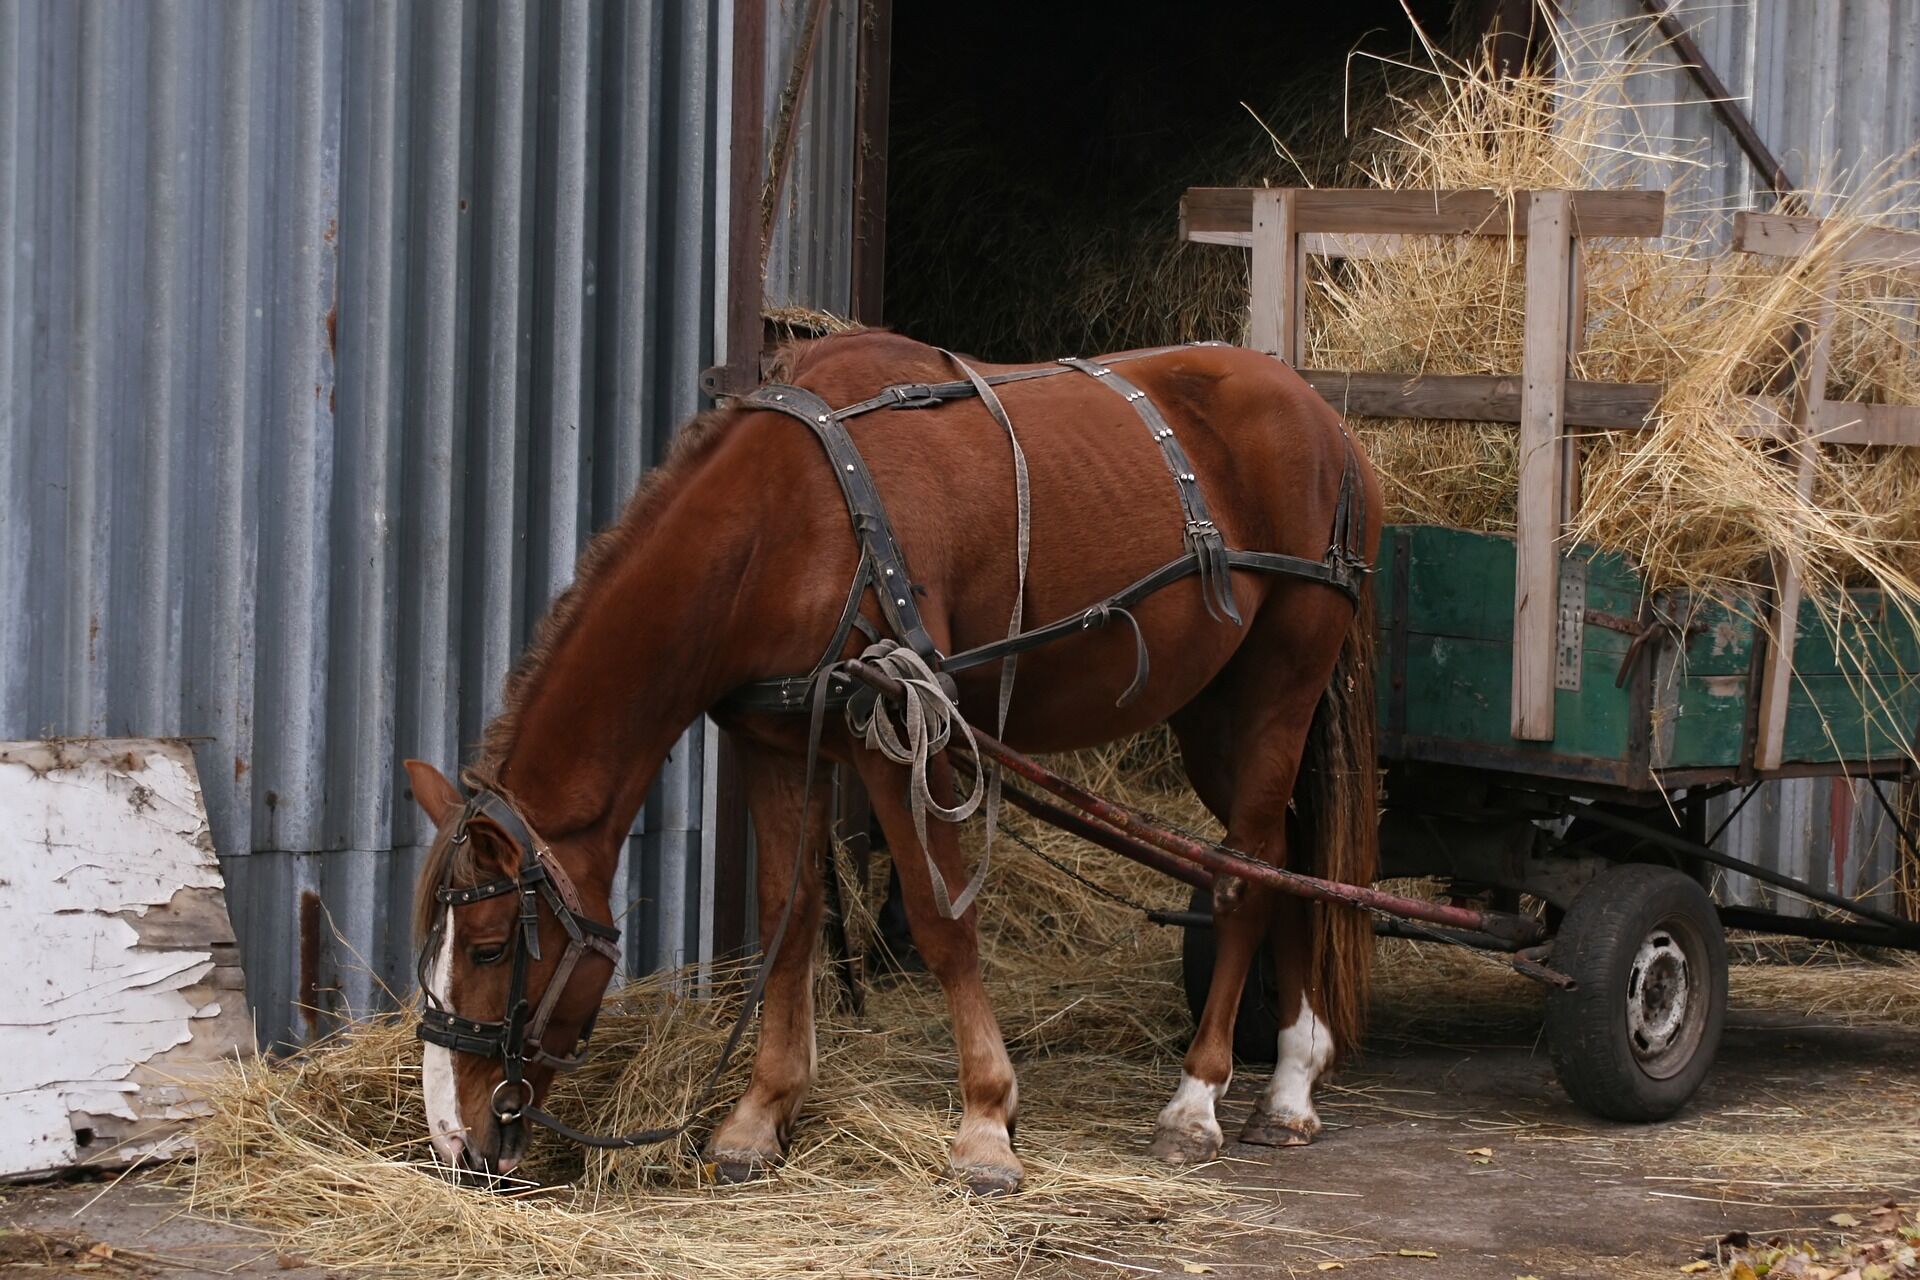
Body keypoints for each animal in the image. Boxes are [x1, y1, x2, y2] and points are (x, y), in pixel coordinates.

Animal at [405, 328, 1382, 1189]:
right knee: (1287, 859)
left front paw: (987, 1122)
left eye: (491, 947)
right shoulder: (773, 741)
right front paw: (759, 1116)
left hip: (1279, 688)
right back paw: (1293, 1081)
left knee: (1246, 876)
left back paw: (1200, 1099)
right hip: (1215, 717)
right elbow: (789, 916)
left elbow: (942, 918)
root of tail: (1324, 419)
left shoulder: (905, 732)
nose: (456, 1146)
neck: (792, 515)